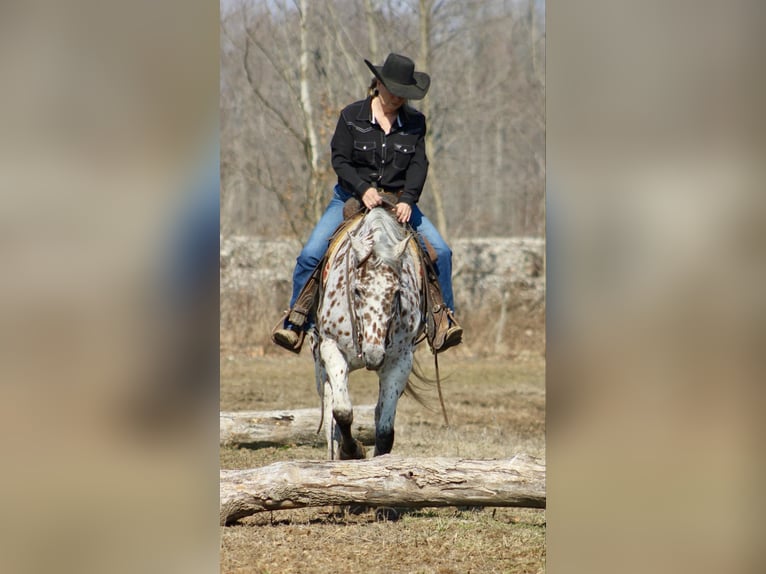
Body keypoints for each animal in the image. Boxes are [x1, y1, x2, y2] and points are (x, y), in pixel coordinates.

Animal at [312, 206, 426, 460]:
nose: (374, 356)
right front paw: (351, 451)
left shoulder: (401, 361)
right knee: (329, 407)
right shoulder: (331, 347)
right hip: (320, 365)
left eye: (396, 292)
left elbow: (384, 429)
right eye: (357, 290)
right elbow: (342, 411)